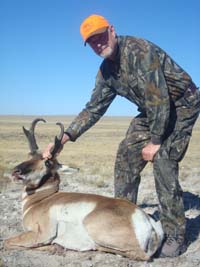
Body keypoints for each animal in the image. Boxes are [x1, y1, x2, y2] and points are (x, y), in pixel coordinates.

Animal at [4, 119, 164, 262]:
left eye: (47, 162)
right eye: (29, 155)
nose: (16, 172)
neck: (42, 199)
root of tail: (146, 219)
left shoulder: (43, 234)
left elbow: (7, 242)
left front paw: (55, 247)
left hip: (92, 226)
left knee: (141, 255)